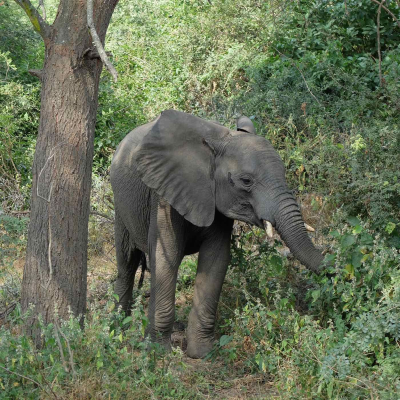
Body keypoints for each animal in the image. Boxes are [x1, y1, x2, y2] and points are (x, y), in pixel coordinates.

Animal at [111, 109, 324, 360]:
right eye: (246, 181)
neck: (219, 141)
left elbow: (216, 259)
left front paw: (201, 353)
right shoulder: (163, 196)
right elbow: (166, 257)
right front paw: (158, 352)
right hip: (120, 206)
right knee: (126, 262)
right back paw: (116, 327)